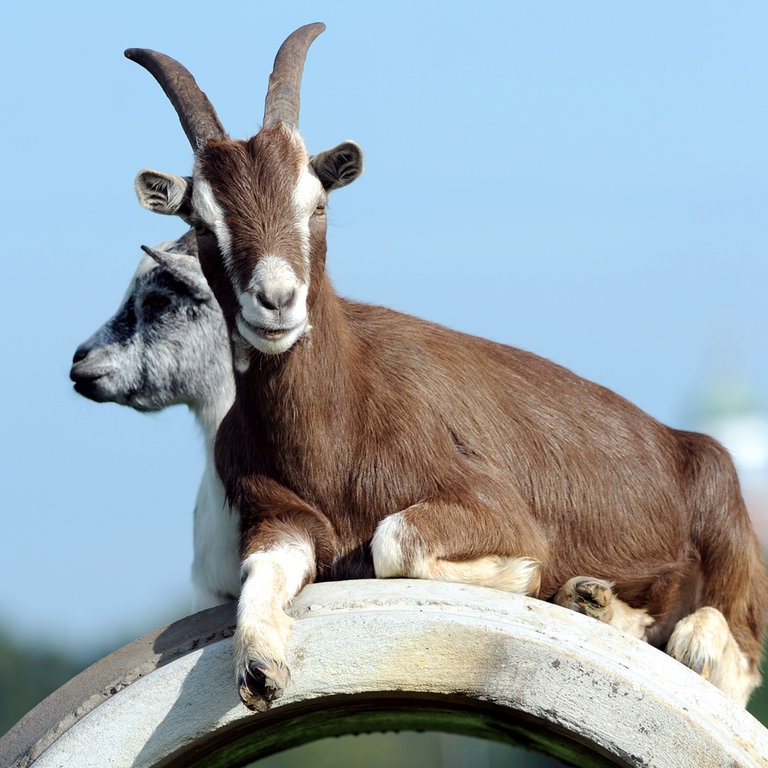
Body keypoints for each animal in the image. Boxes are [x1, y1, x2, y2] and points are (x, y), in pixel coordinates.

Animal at [127, 21, 768, 712]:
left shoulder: (495, 506)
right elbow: (261, 572)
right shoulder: (277, 517)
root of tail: (681, 441)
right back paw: (593, 602)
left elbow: (394, 540)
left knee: (734, 655)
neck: (340, 429)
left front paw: (526, 576)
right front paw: (260, 663)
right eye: (201, 220)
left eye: (316, 202)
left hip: (725, 517)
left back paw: (661, 626)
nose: (275, 301)